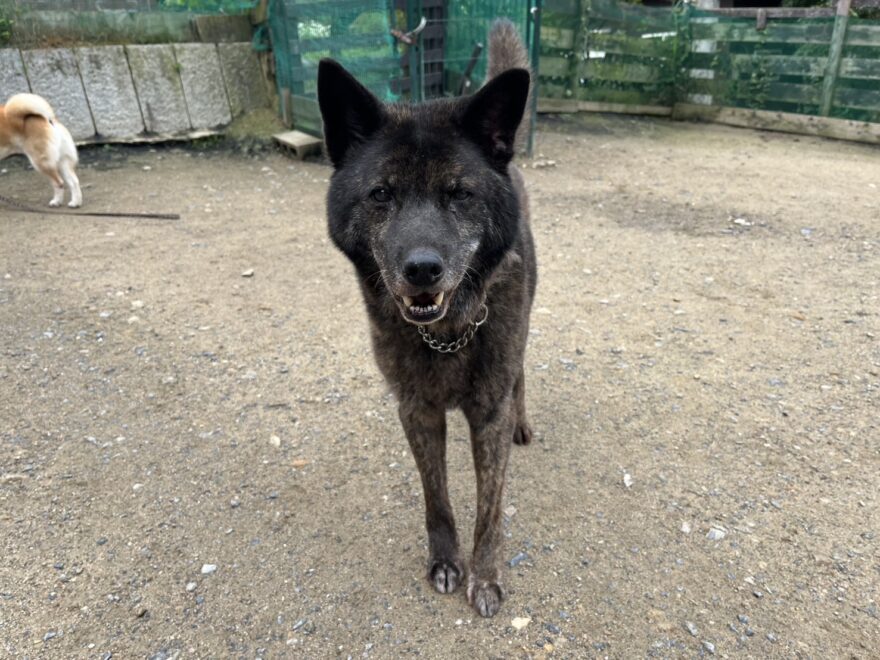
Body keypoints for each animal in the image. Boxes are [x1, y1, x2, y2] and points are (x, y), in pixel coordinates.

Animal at [317, 19, 537, 617]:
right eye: (380, 194)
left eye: (459, 193)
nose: (421, 270)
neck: (448, 333)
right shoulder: (416, 410)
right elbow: (435, 495)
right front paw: (445, 562)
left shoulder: (488, 413)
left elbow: (490, 509)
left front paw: (484, 576)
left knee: (522, 374)